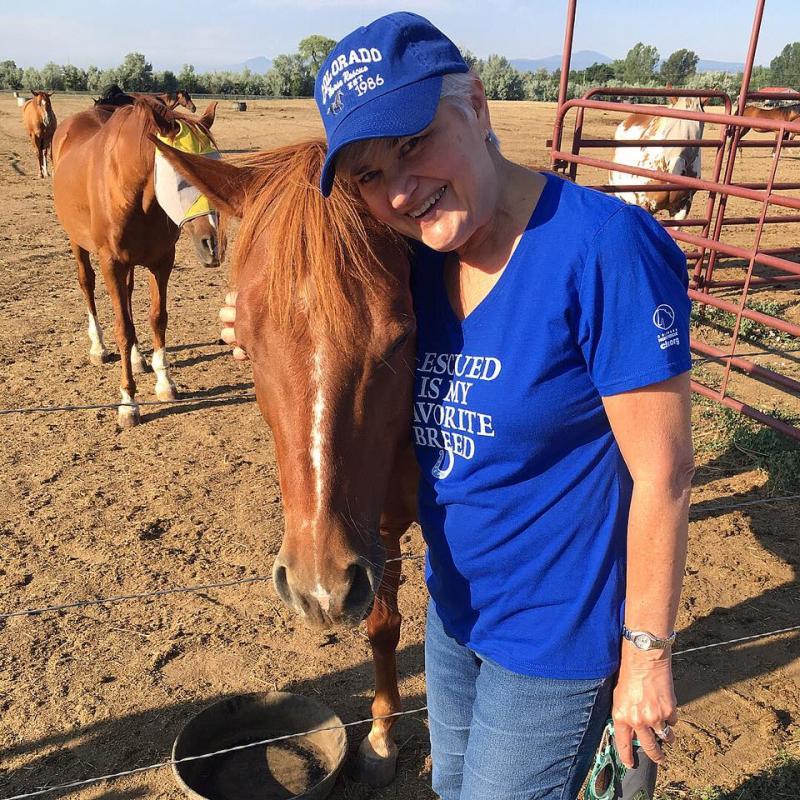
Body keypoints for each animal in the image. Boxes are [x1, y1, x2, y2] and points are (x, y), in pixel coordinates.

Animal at [52, 97, 222, 427]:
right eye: (181, 175)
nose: (213, 245)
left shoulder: (161, 262)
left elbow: (157, 318)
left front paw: (165, 383)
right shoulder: (112, 263)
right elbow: (123, 329)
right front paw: (128, 402)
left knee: (129, 296)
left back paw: (136, 357)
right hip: (78, 243)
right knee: (87, 285)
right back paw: (99, 348)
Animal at [152, 137, 419, 786]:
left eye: (402, 335)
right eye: (244, 341)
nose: (318, 590)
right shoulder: (377, 532)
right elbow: (383, 625)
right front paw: (381, 738)